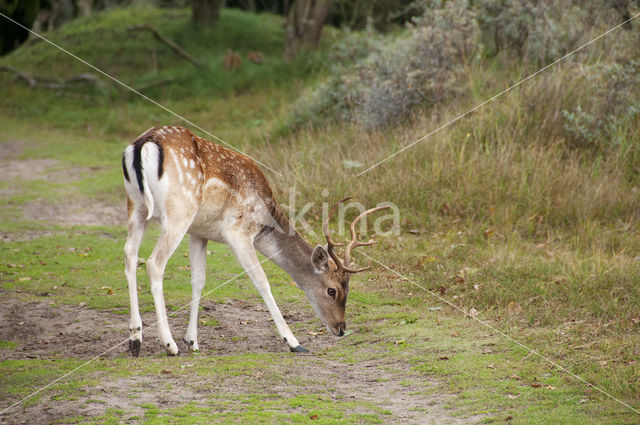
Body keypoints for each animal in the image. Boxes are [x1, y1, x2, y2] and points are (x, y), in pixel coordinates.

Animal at [122, 125, 388, 354]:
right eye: (332, 290)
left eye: (348, 289)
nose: (341, 329)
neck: (265, 219)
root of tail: (144, 143)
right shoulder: (239, 232)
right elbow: (262, 281)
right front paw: (294, 342)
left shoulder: (199, 233)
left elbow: (198, 281)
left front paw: (193, 341)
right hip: (179, 210)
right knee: (154, 262)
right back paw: (169, 344)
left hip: (136, 206)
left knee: (130, 255)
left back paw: (136, 339)